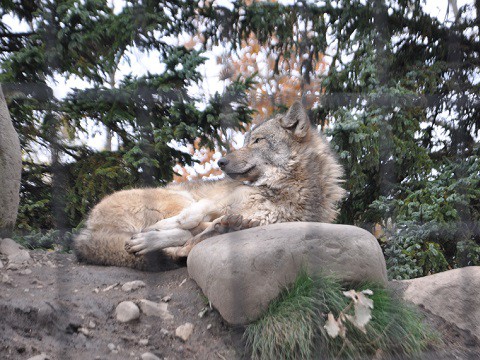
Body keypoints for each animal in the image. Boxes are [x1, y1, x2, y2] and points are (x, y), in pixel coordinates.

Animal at [73, 101, 344, 270]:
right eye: (245, 141)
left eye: (257, 141)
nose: (220, 162)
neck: (279, 190)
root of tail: (87, 230)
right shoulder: (213, 203)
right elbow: (188, 219)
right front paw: (157, 230)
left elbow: (190, 232)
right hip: (178, 197)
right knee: (185, 235)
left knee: (185, 245)